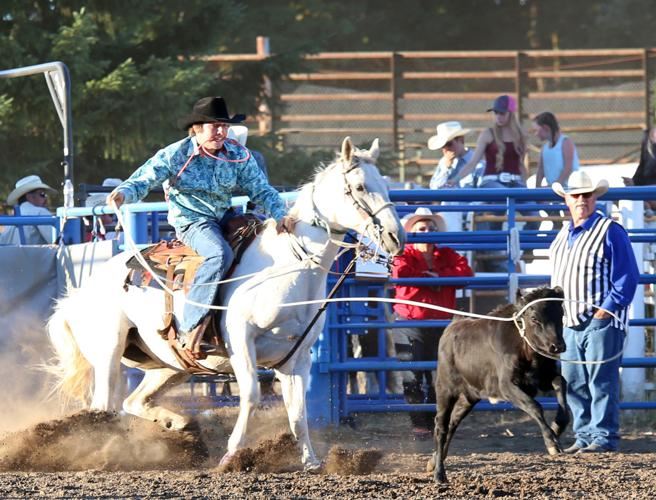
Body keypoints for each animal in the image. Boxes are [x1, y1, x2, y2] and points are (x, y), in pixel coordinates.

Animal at [46, 136, 404, 468]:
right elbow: (251, 396)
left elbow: (298, 411)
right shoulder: (241, 340)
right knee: (103, 406)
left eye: (385, 186)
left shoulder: (298, 356)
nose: (395, 237)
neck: (288, 267)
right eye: (359, 186)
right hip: (108, 352)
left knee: (132, 402)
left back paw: (179, 424)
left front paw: (311, 462)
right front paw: (231, 455)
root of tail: (81, 292)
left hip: (171, 364)